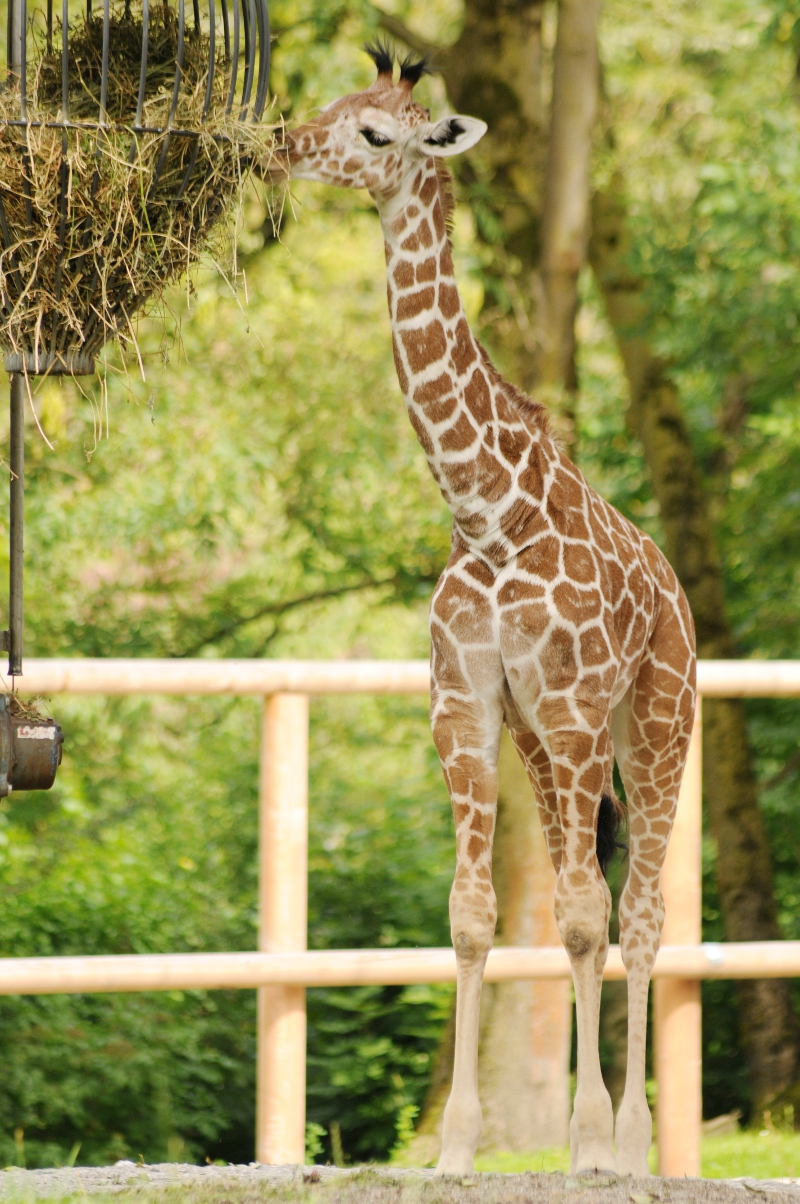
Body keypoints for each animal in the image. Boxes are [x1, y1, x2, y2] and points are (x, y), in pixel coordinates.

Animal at [280, 44, 696, 1177]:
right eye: (331, 105)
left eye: (376, 132)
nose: (280, 144)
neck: (486, 509)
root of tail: (679, 595)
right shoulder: (464, 707)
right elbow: (476, 916)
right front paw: (459, 1147)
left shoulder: (572, 710)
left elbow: (592, 916)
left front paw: (592, 1144)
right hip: (548, 752)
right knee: (573, 897)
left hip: (651, 727)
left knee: (637, 911)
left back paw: (628, 1143)